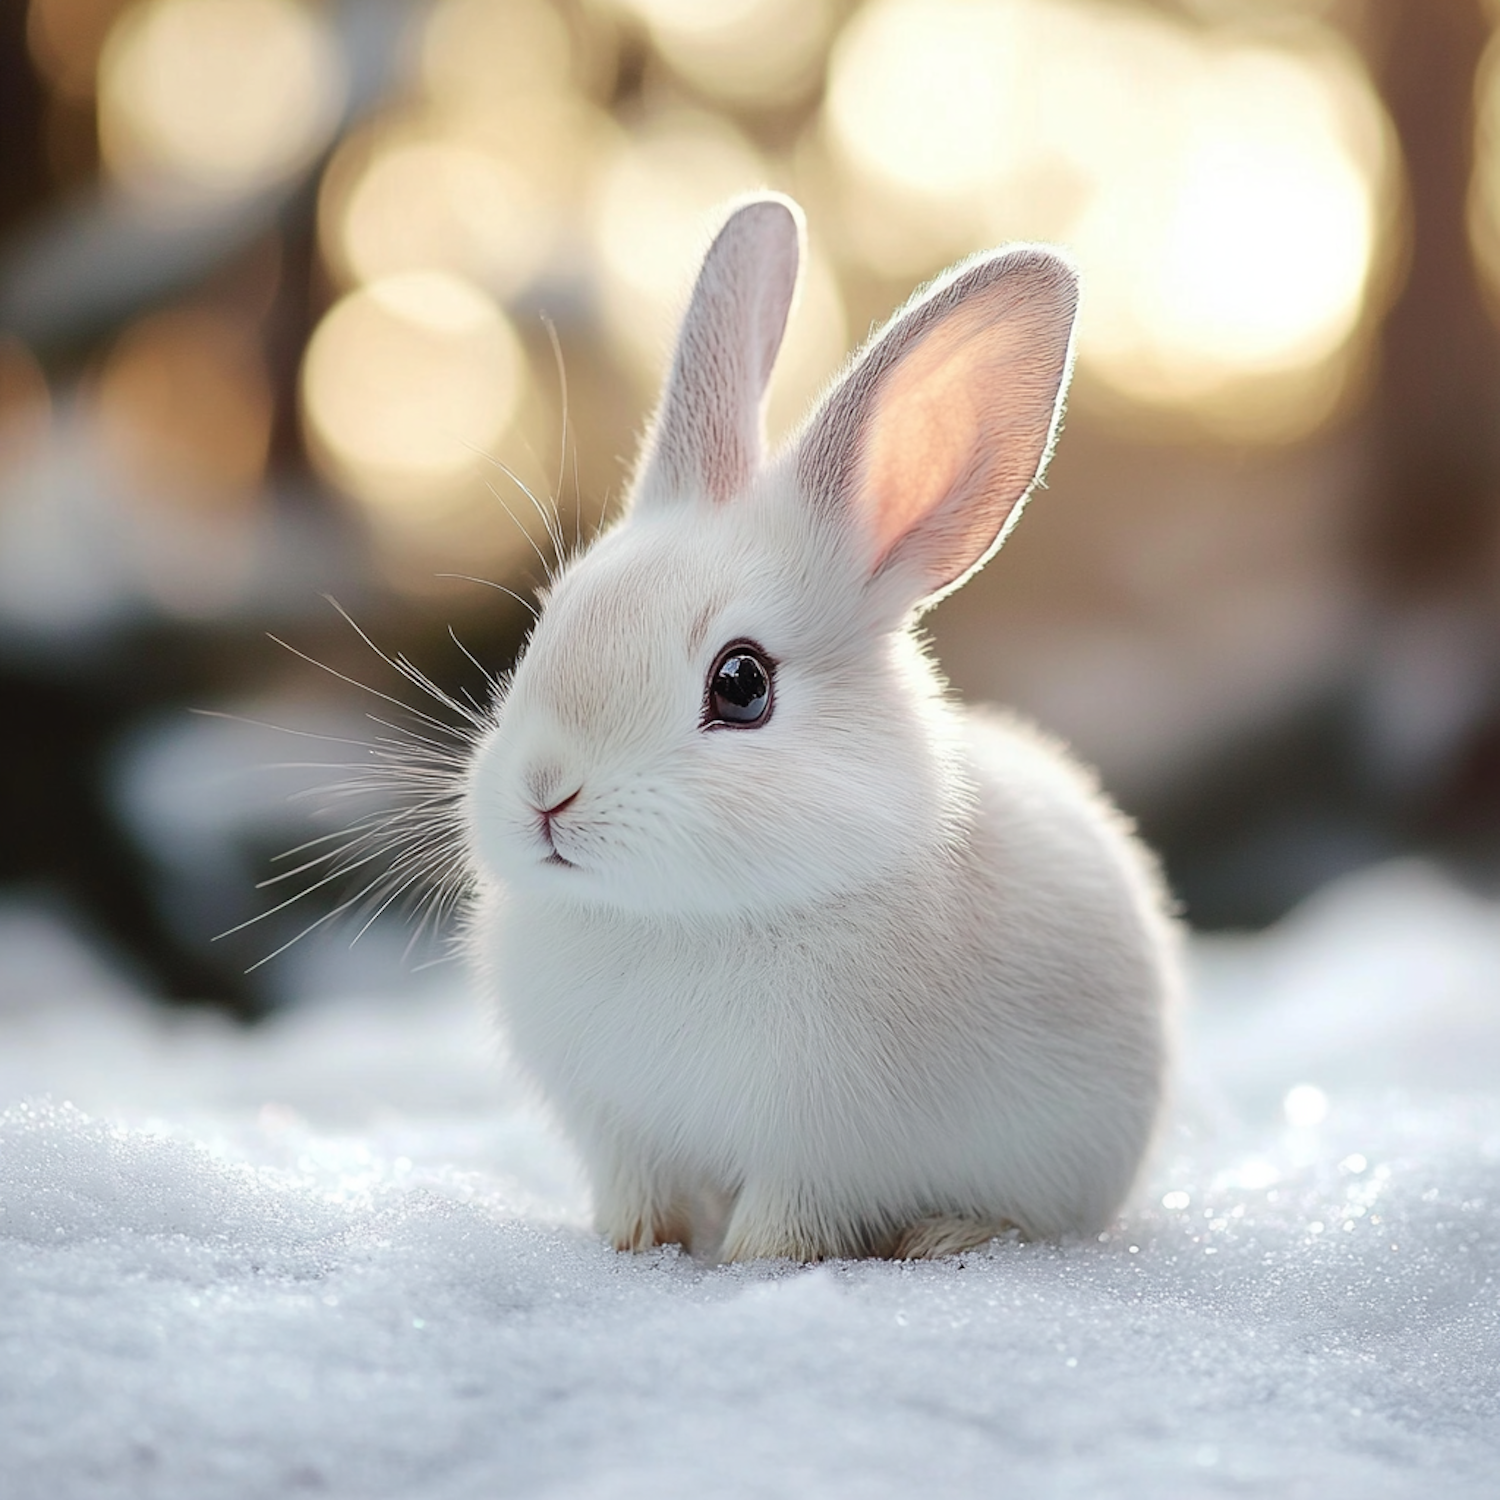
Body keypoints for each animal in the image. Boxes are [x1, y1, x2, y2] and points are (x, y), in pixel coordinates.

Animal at [462, 193, 1176, 1260]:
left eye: (741, 684)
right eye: (551, 620)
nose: (547, 795)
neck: (675, 920)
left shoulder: (823, 1149)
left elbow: (788, 1218)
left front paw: (757, 1264)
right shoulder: (622, 1135)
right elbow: (641, 1200)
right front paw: (631, 1249)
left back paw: (946, 1236)